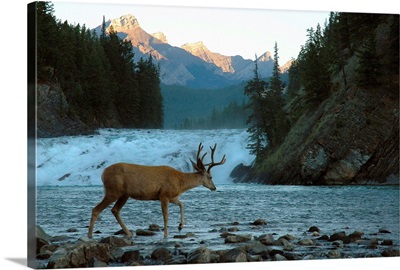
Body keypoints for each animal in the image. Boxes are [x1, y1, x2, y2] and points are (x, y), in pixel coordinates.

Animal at [87, 142, 225, 237]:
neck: (180, 182)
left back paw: (129, 233)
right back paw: (90, 235)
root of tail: (103, 173)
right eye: (210, 177)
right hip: (113, 190)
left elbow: (182, 204)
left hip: (124, 194)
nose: (214, 187)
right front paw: (166, 235)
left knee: (115, 210)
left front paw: (180, 226)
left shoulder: (171, 196)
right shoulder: (164, 195)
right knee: (96, 209)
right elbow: (166, 216)